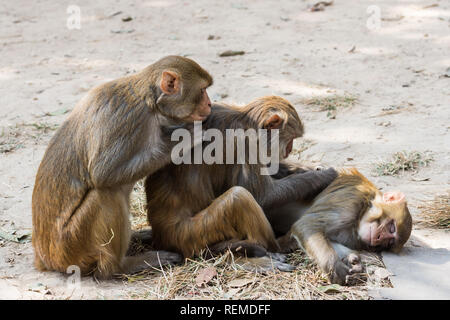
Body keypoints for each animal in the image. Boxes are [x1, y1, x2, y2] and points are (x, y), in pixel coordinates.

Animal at [32, 55, 214, 278]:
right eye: (202, 90)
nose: (209, 103)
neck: (150, 103)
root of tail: (44, 257)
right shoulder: (126, 119)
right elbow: (103, 174)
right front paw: (183, 139)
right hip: (72, 246)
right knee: (106, 192)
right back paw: (122, 266)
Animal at [144, 95, 338, 270]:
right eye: (290, 139)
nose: (290, 150)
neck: (247, 121)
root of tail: (161, 236)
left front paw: (311, 168)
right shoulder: (246, 143)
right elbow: (263, 196)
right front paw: (324, 176)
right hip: (193, 235)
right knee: (239, 197)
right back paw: (277, 246)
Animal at [268, 166, 414, 284]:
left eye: (388, 243)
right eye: (391, 228)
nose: (379, 238)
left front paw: (353, 261)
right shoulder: (351, 200)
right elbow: (307, 225)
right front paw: (335, 269)